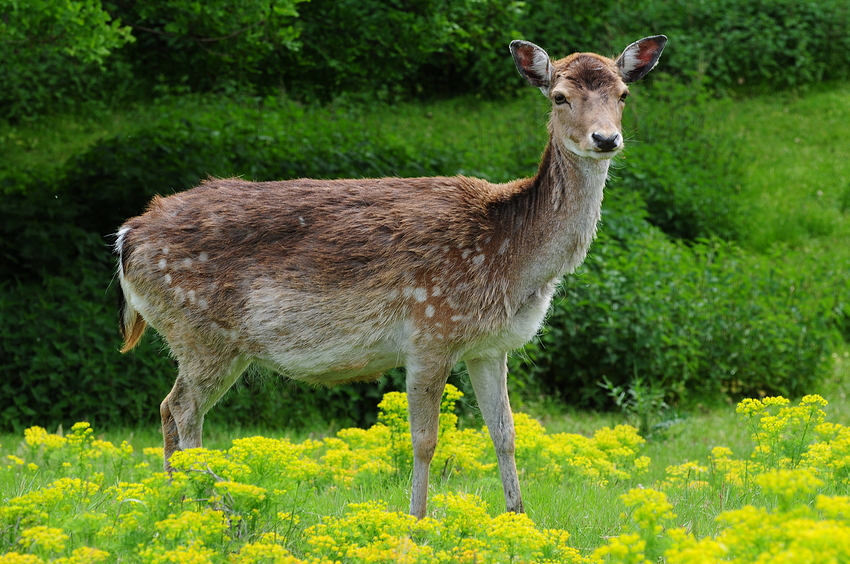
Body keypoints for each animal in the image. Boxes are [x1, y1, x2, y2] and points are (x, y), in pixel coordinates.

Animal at [116, 36, 664, 520]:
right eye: (559, 96)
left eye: (623, 93)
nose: (606, 138)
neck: (513, 262)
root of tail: (126, 237)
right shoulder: (430, 330)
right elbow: (425, 440)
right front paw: (416, 522)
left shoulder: (490, 346)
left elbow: (505, 433)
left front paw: (519, 518)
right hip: (203, 334)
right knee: (183, 411)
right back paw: (221, 511)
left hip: (203, 341)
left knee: (167, 408)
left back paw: (182, 507)